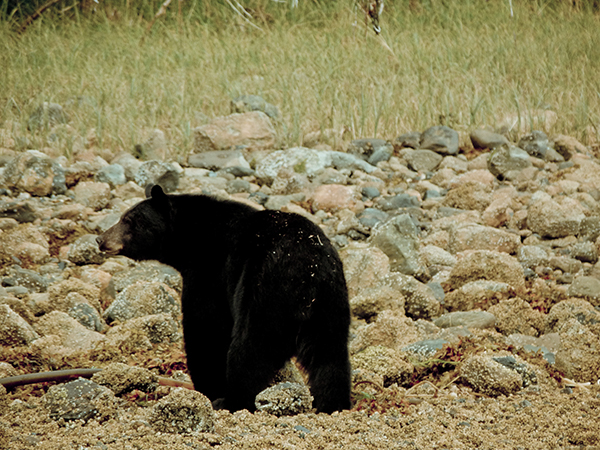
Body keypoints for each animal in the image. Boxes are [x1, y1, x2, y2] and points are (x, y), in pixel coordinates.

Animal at [97, 185, 352, 414]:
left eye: (129, 220)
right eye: (123, 217)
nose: (100, 239)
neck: (192, 238)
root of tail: (307, 271)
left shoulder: (210, 273)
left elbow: (205, 327)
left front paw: (208, 387)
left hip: (263, 290)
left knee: (251, 347)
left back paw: (232, 400)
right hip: (330, 301)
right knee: (330, 356)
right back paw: (333, 404)